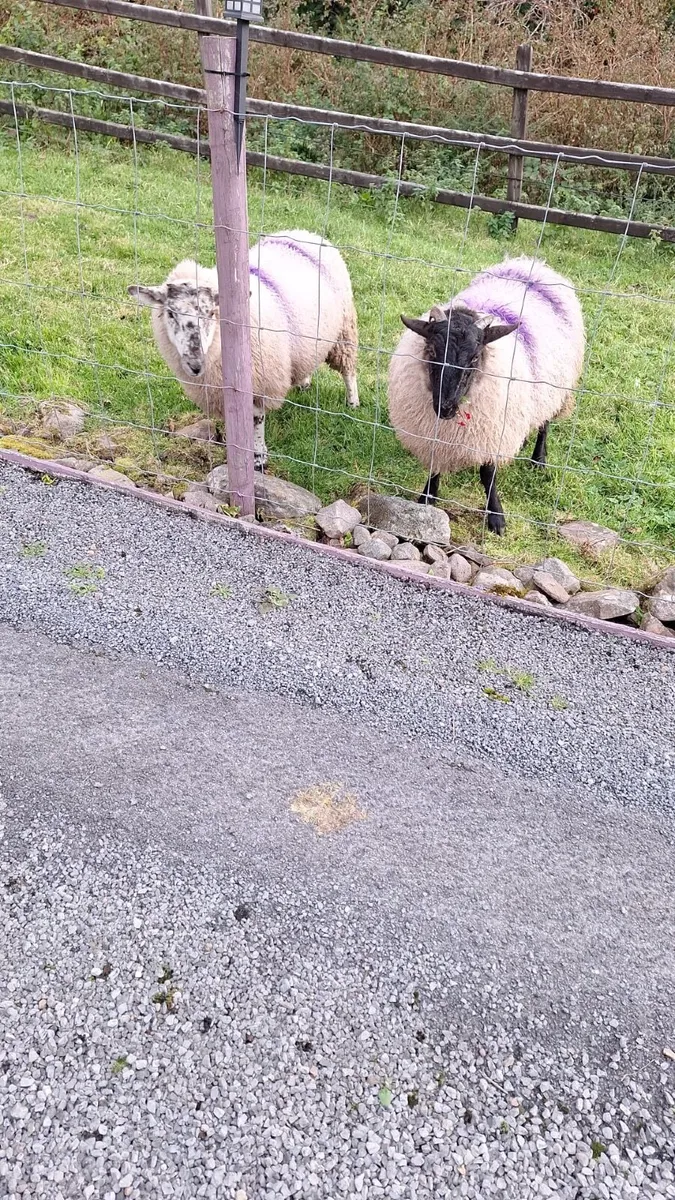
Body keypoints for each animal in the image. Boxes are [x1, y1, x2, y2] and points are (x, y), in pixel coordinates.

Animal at [128, 229, 359, 468]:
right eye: (170, 313)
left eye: (211, 312)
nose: (195, 363)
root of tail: (303, 233)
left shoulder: (259, 383)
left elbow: (256, 419)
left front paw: (258, 458)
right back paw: (304, 383)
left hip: (344, 330)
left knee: (349, 370)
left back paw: (353, 403)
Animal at [387, 255, 585, 534]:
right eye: (433, 352)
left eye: (474, 358)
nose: (445, 408)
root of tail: (531, 263)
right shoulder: (434, 434)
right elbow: (435, 467)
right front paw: (426, 499)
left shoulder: (491, 430)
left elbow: (488, 475)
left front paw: (496, 517)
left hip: (554, 383)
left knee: (545, 422)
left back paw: (538, 459)